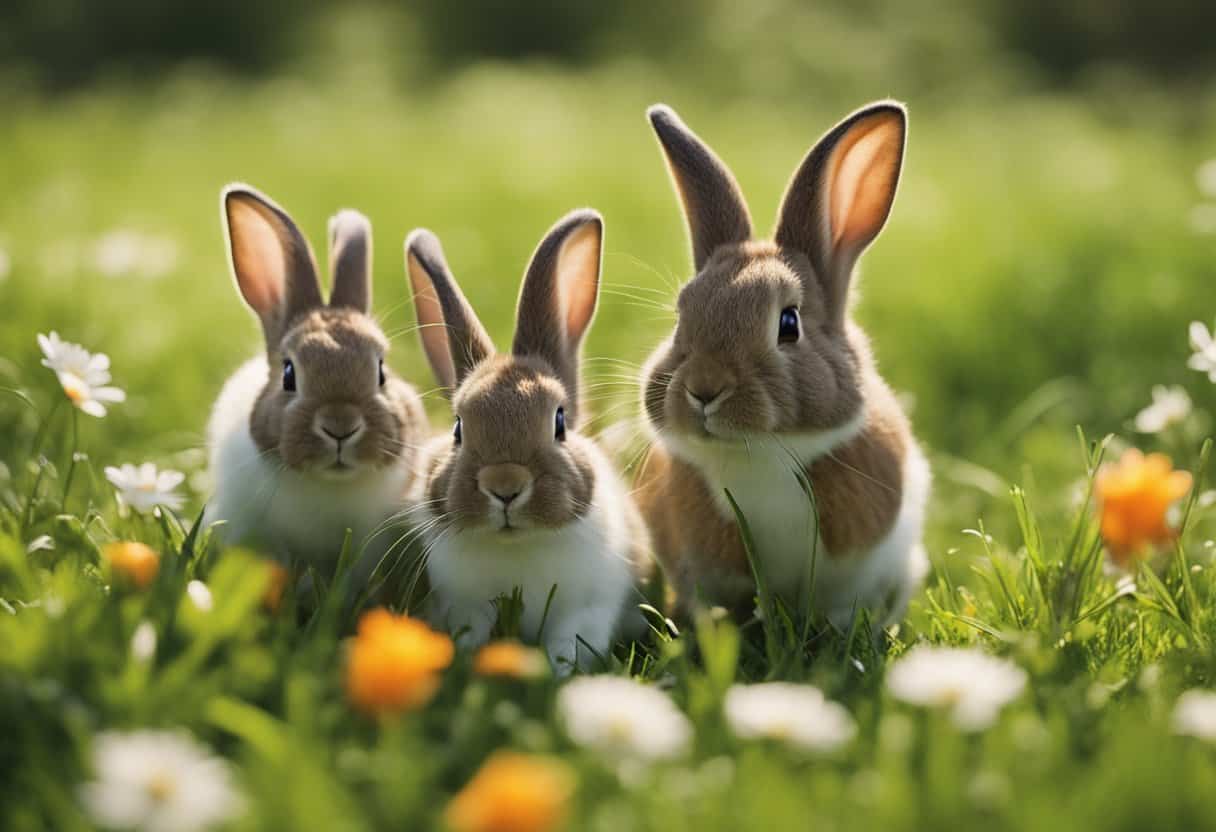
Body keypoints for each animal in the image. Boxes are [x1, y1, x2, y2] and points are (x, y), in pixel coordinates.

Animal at [404, 209, 653, 672]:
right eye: (458, 428)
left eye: (559, 423)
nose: (504, 487)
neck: (517, 544)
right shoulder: (463, 603)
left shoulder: (587, 609)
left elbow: (571, 643)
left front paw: (559, 674)